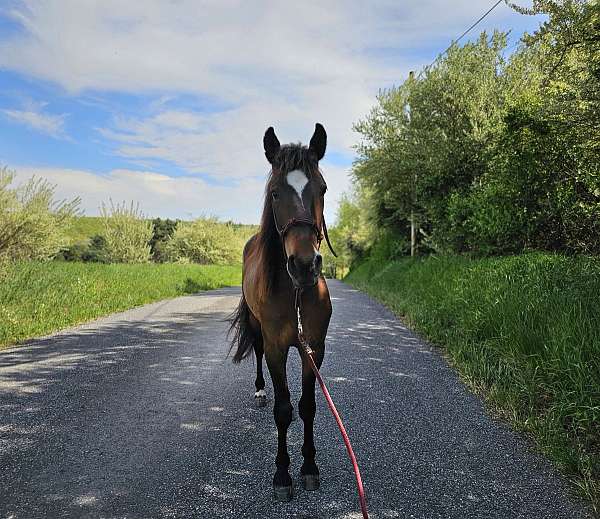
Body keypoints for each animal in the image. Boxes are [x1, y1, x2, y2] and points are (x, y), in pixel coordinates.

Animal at [230, 124, 336, 502]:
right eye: (275, 193)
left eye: (322, 188)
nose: (304, 265)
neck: (294, 293)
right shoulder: (278, 348)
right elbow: (283, 409)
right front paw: (282, 474)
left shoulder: (313, 349)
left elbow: (307, 407)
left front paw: (309, 467)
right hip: (257, 328)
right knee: (258, 353)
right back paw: (260, 391)